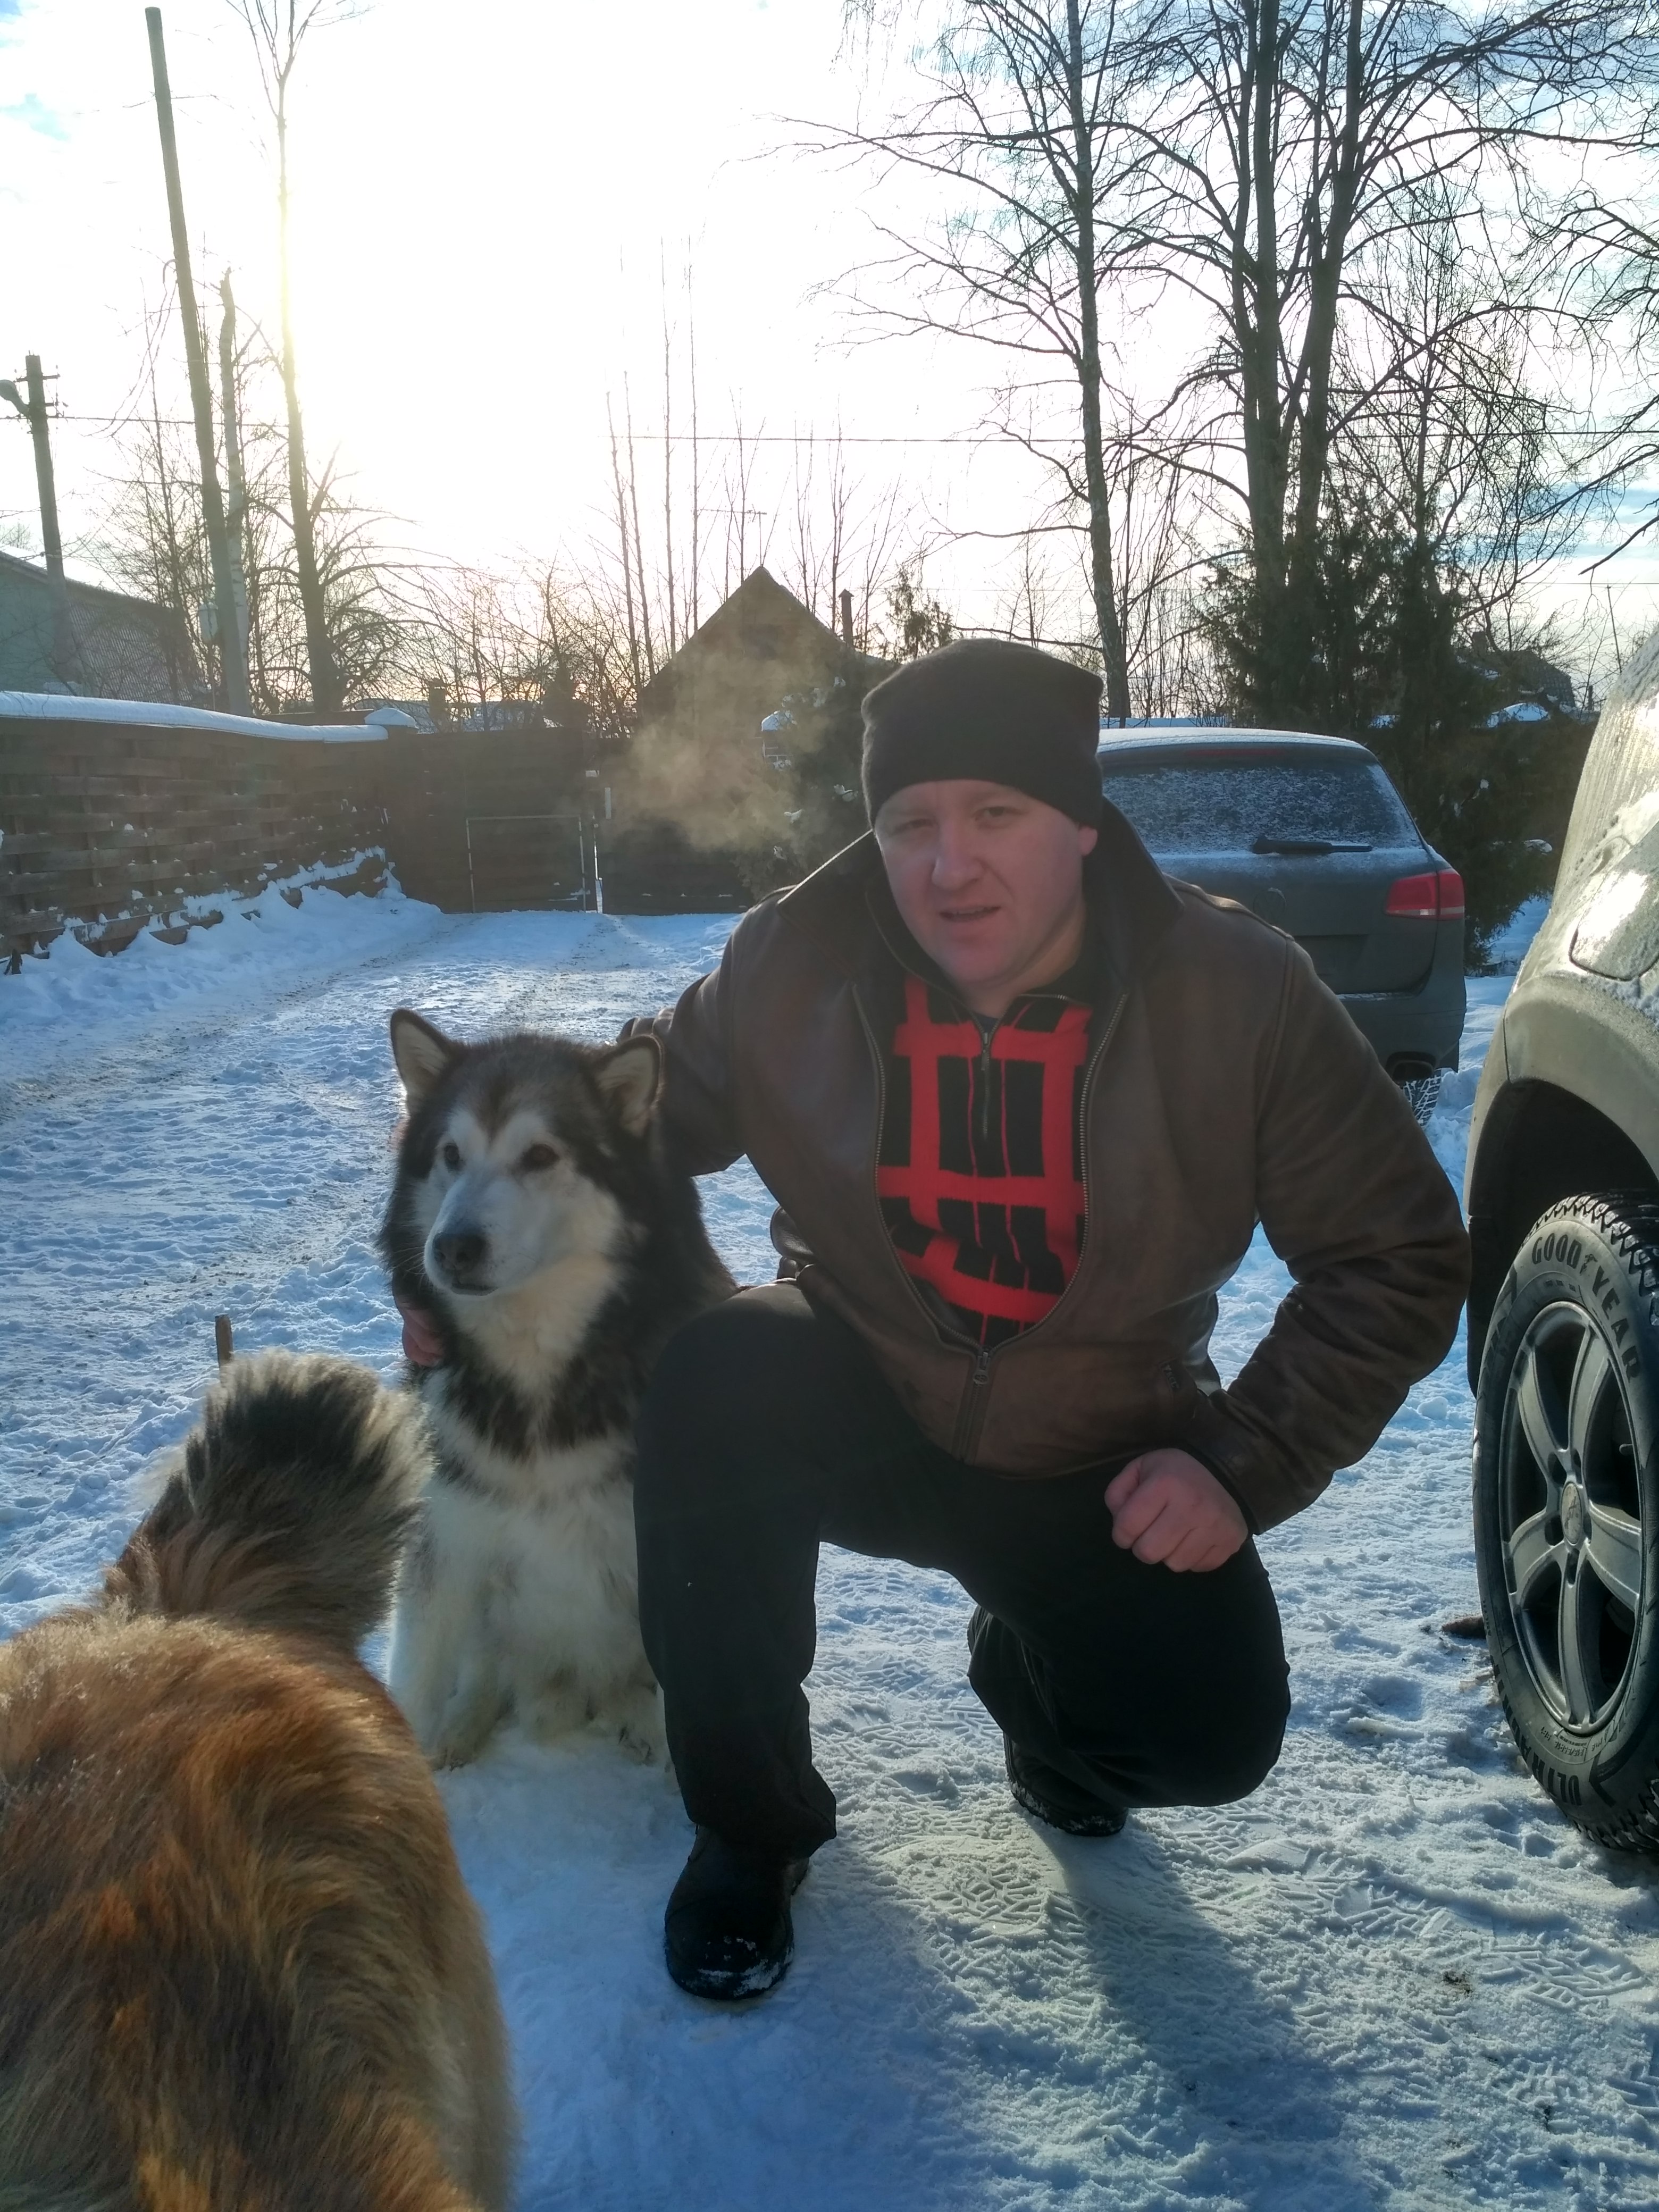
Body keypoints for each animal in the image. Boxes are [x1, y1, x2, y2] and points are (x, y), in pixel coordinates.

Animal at [380, 1009, 734, 1771]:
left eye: (540, 1155)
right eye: (451, 1154)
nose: (452, 1247)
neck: (540, 1369)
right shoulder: (447, 1540)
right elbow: (413, 1686)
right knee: (485, 1671)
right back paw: (464, 1724)